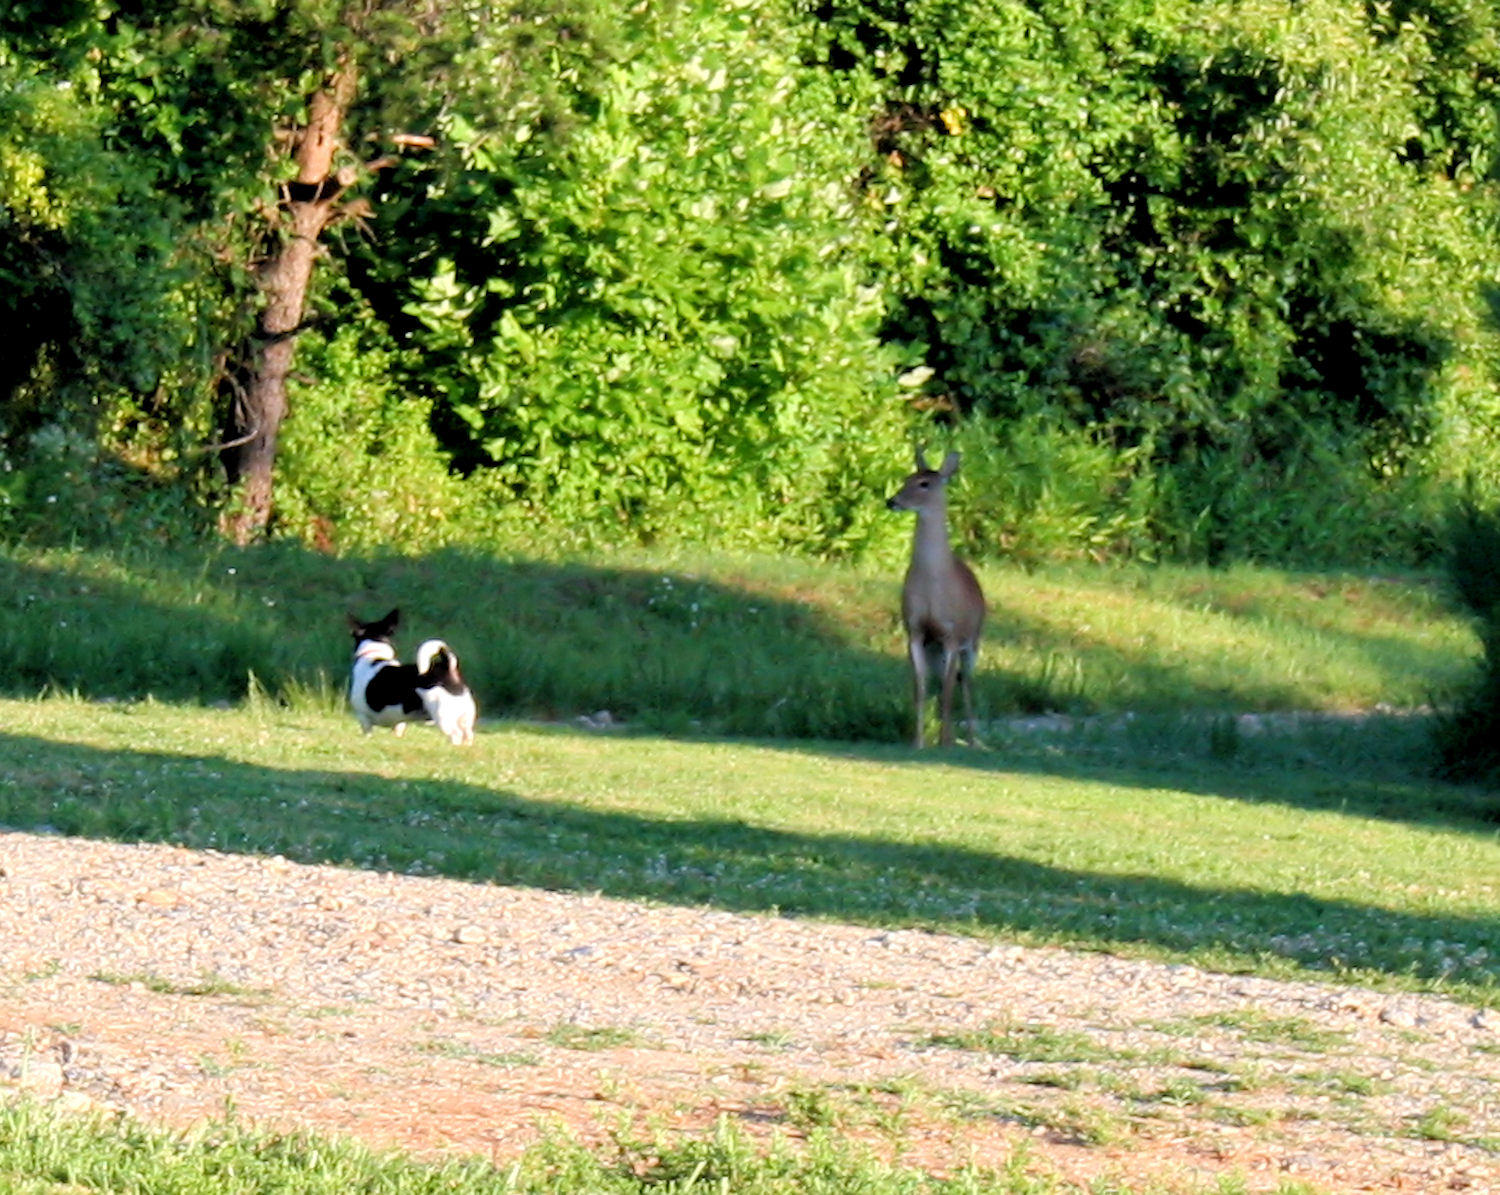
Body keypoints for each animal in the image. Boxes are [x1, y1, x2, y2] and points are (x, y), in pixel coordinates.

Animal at [345, 611, 474, 740]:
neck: (375, 654)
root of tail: (447, 666)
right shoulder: (399, 723)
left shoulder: (364, 719)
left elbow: (367, 733)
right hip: (465, 717)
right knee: (468, 734)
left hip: (443, 717)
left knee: (456, 734)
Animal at [888, 446, 984, 746]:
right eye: (906, 478)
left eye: (924, 484)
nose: (891, 501)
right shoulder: (916, 632)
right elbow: (920, 690)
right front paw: (918, 742)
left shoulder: (952, 635)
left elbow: (948, 693)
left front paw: (944, 743)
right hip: (935, 649)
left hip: (973, 642)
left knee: (966, 685)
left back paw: (972, 741)